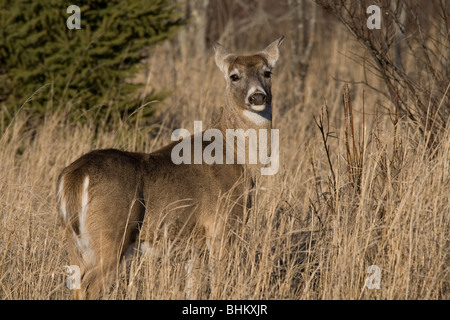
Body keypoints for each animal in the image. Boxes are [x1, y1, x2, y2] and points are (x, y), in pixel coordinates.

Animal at [55, 36, 282, 298]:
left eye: (267, 72)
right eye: (234, 75)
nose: (257, 96)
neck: (239, 157)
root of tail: (74, 175)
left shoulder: (195, 242)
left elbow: (193, 287)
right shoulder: (223, 224)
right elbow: (219, 281)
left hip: (74, 241)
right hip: (111, 234)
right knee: (89, 286)